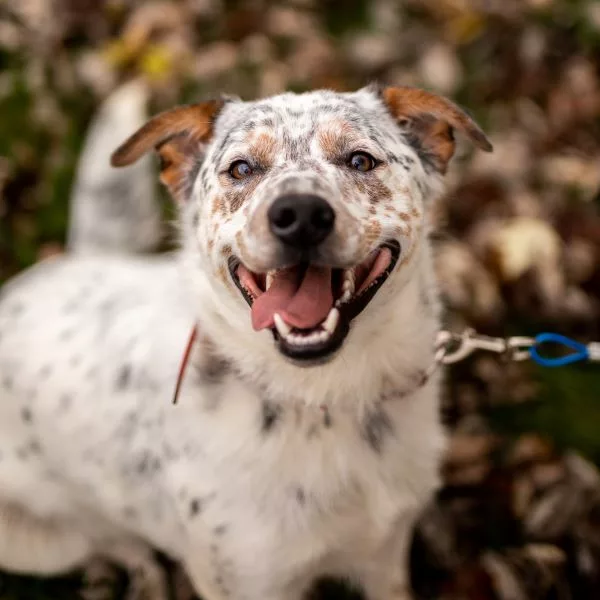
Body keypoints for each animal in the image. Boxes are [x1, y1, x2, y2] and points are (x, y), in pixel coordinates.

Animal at [0, 85, 492, 600]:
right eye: (241, 169)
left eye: (360, 160)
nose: (300, 215)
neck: (324, 400)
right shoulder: (248, 580)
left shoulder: (386, 553)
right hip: (39, 545)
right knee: (110, 542)